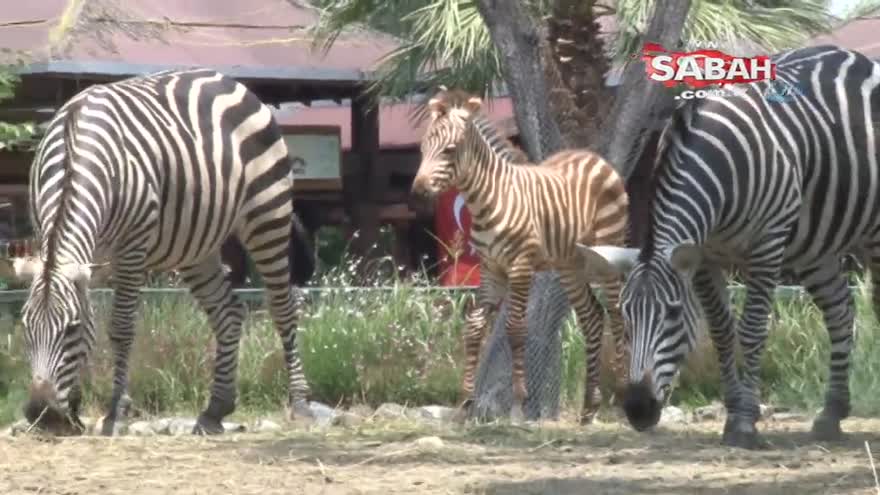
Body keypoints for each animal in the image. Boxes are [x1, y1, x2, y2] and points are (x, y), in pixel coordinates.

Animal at [0, 69, 314, 434]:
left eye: (71, 329)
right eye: (25, 328)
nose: (43, 415)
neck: (74, 149)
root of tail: (229, 80)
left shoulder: (131, 247)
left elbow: (120, 328)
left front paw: (115, 411)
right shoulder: (61, 244)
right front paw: (75, 409)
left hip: (268, 213)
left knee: (283, 307)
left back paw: (301, 403)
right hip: (196, 246)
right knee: (229, 313)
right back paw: (216, 409)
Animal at [412, 88, 632, 422]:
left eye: (449, 150)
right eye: (423, 148)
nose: (417, 193)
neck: (488, 199)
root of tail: (593, 156)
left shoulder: (520, 265)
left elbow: (515, 328)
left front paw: (518, 404)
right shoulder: (491, 267)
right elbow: (474, 327)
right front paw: (465, 402)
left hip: (607, 251)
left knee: (617, 315)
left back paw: (622, 397)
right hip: (569, 263)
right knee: (593, 317)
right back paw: (589, 408)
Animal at [576, 45, 880, 450]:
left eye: (673, 313)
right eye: (624, 317)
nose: (638, 410)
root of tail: (857, 57)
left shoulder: (767, 244)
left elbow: (751, 330)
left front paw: (745, 421)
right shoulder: (704, 257)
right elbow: (721, 331)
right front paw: (733, 411)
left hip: (871, 232)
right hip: (816, 248)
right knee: (841, 313)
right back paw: (831, 414)